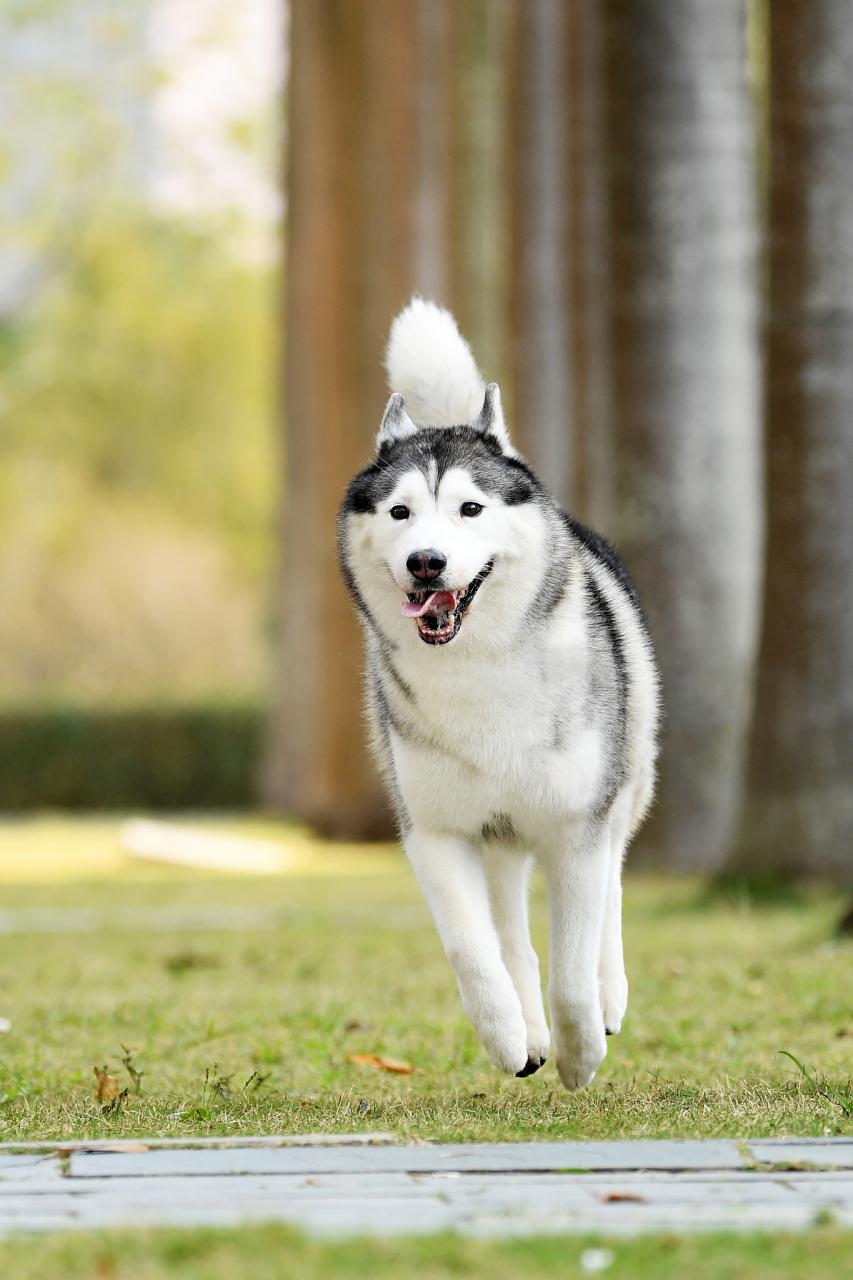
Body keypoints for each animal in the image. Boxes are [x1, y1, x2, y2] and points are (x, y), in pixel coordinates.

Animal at [338, 299, 655, 1090]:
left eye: (470, 509)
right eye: (399, 513)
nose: (426, 562)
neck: (478, 667)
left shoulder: (577, 827)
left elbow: (573, 961)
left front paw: (582, 1051)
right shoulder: (435, 832)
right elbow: (472, 950)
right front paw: (509, 1035)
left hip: (625, 783)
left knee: (611, 889)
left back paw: (606, 999)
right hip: (500, 830)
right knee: (511, 928)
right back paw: (530, 1032)